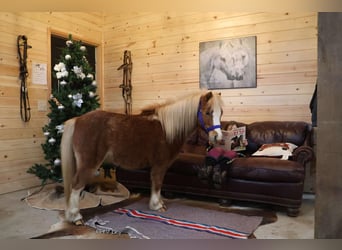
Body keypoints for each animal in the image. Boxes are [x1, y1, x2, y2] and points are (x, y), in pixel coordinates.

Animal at [60, 91, 223, 224]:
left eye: (220, 113)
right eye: (208, 112)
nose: (218, 138)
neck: (167, 129)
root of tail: (77, 120)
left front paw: (158, 203)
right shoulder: (159, 165)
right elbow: (157, 184)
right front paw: (157, 205)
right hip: (88, 164)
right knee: (76, 186)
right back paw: (75, 217)